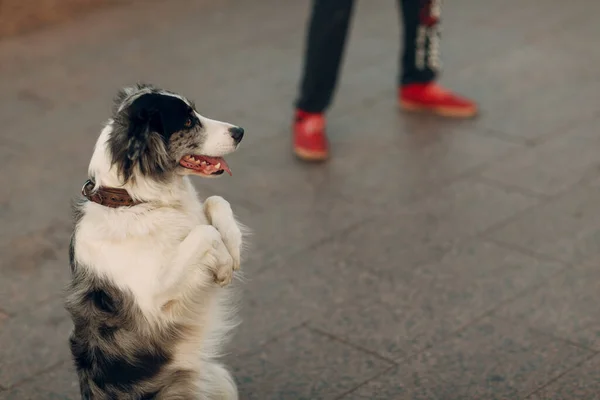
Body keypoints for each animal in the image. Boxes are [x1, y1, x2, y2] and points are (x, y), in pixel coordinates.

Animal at [63, 83, 246, 398]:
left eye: (195, 112)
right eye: (188, 122)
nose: (240, 131)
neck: (133, 202)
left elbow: (215, 201)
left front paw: (232, 249)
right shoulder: (154, 298)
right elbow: (204, 233)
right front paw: (223, 264)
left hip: (220, 380)